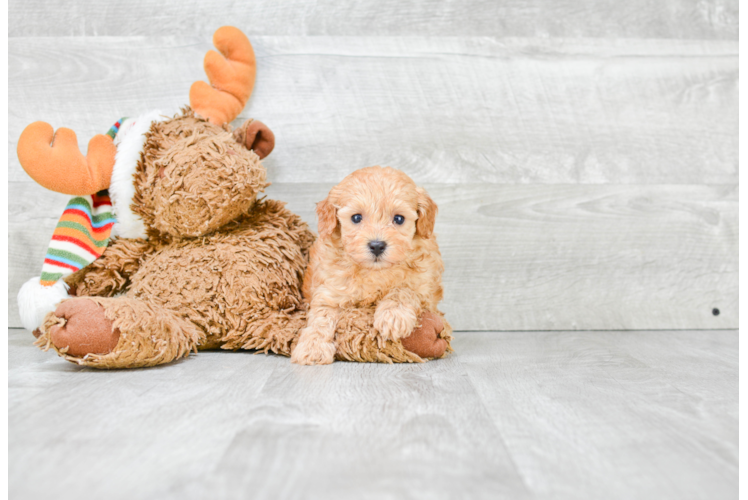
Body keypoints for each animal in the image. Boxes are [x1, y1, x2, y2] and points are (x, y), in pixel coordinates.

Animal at [292, 166, 444, 366]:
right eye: (356, 218)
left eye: (399, 219)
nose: (377, 245)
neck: (375, 271)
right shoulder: (329, 291)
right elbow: (321, 318)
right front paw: (313, 347)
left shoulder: (426, 289)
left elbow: (405, 289)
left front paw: (393, 315)